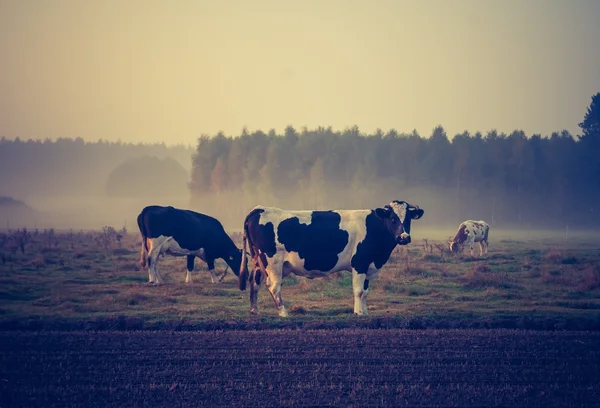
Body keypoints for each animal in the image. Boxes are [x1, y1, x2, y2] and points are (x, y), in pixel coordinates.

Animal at [237, 199, 424, 318]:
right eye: (392, 218)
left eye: (408, 219)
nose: (404, 237)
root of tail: (259, 209)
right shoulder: (360, 263)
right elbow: (358, 290)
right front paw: (358, 313)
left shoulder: (368, 266)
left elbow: (365, 292)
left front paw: (365, 312)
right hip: (272, 262)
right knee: (273, 286)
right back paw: (284, 313)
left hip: (258, 261)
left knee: (254, 282)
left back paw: (255, 310)